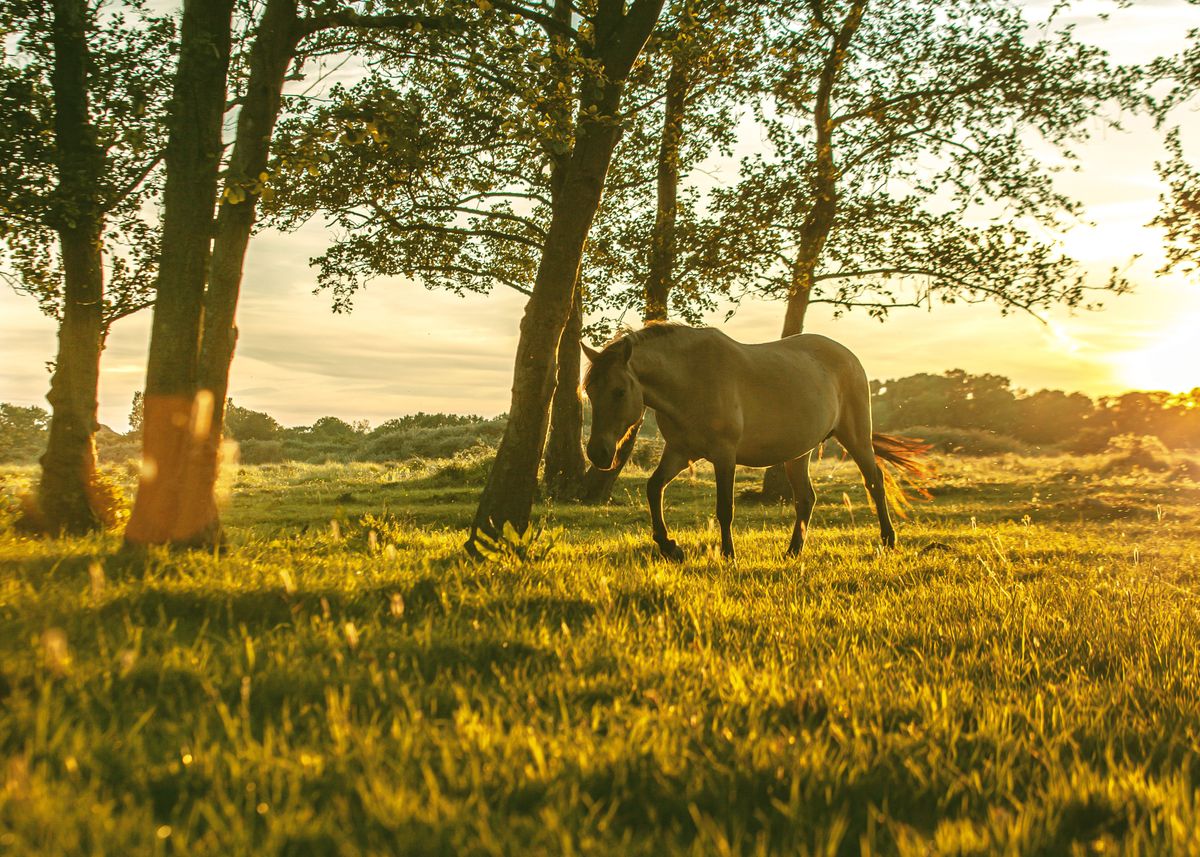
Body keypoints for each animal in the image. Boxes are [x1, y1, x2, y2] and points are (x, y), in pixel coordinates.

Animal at [581, 323, 930, 561]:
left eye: (619, 391)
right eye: (589, 391)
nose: (597, 453)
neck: (692, 378)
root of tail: (848, 356)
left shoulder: (724, 455)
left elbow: (725, 508)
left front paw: (728, 554)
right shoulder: (680, 452)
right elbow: (654, 488)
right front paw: (670, 547)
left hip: (855, 436)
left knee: (874, 482)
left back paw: (888, 540)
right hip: (798, 452)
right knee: (806, 498)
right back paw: (792, 551)